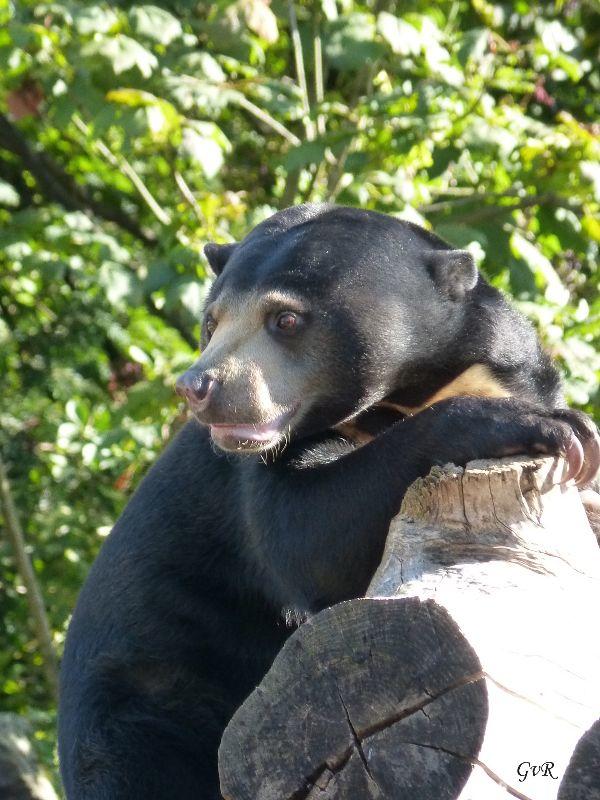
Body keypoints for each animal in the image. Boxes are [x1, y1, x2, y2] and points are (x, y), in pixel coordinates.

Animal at [57, 206, 600, 800]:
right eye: (211, 323)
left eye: (286, 320)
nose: (198, 387)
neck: (407, 393)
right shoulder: (249, 471)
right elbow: (310, 536)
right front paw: (556, 430)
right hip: (144, 714)